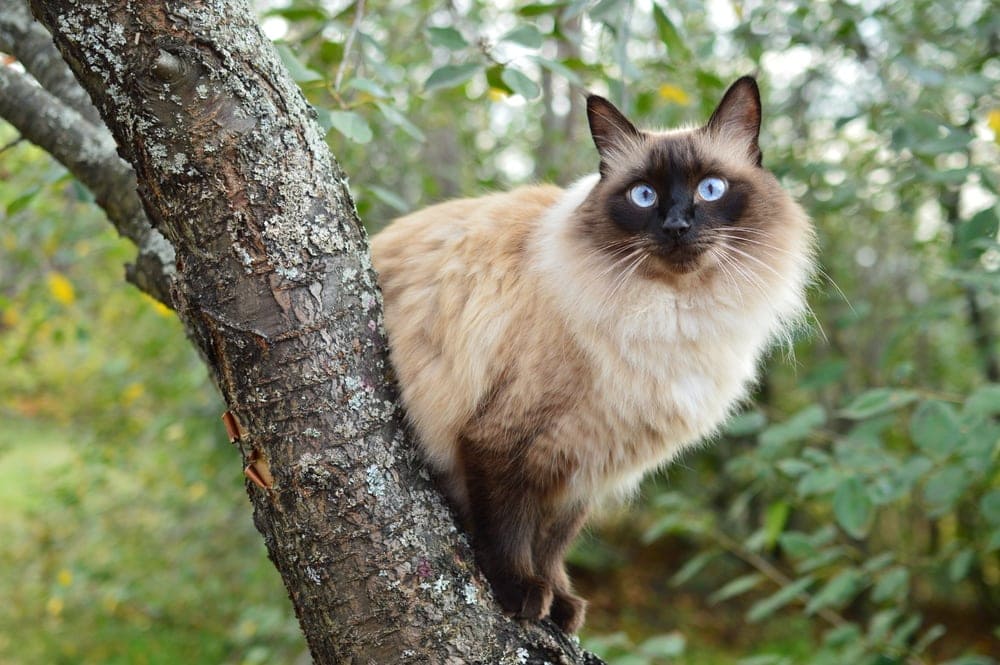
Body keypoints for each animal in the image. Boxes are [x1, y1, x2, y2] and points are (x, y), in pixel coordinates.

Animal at [368, 78, 812, 632]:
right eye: (644, 196)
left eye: (710, 189)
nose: (676, 226)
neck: (673, 317)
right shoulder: (505, 441)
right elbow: (509, 529)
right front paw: (522, 593)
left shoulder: (584, 463)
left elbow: (553, 543)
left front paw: (560, 603)